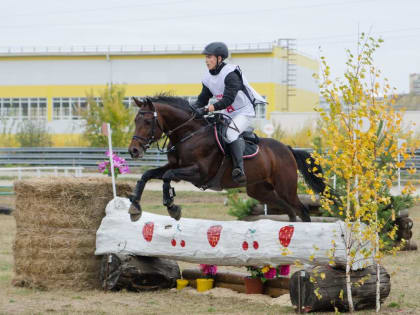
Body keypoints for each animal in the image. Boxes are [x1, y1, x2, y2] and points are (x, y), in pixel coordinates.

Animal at [126, 95, 326, 223]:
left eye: (147, 122)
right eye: (135, 120)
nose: (133, 151)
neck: (189, 134)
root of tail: (288, 149)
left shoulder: (199, 173)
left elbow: (167, 176)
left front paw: (172, 208)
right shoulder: (175, 167)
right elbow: (147, 174)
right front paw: (135, 207)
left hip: (286, 188)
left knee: (302, 210)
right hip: (260, 190)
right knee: (289, 210)